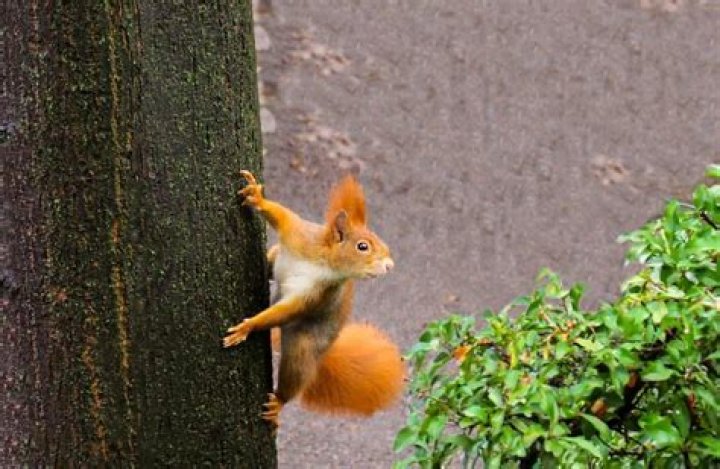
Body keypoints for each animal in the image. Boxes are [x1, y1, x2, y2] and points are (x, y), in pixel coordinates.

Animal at [223, 170, 405, 428]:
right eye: (362, 246)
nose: (390, 265)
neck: (324, 261)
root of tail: (324, 352)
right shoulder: (300, 234)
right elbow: (283, 216)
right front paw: (257, 197)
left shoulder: (319, 293)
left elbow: (289, 310)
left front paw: (248, 326)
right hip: (278, 255)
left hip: (302, 349)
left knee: (294, 377)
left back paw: (278, 403)